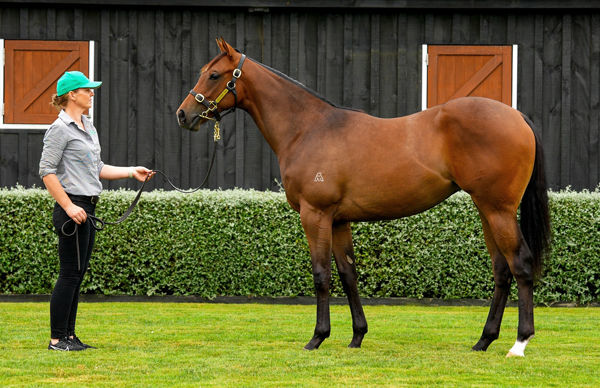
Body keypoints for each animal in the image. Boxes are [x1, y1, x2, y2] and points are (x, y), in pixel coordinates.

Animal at [176, 39, 552, 358]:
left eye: (213, 74)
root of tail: (516, 116)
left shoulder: (315, 215)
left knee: (520, 263)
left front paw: (317, 337)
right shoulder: (339, 220)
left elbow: (321, 275)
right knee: (502, 269)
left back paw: (519, 343)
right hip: (485, 209)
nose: (183, 115)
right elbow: (348, 275)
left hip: (498, 209)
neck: (308, 129)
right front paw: (357, 336)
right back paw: (483, 340)